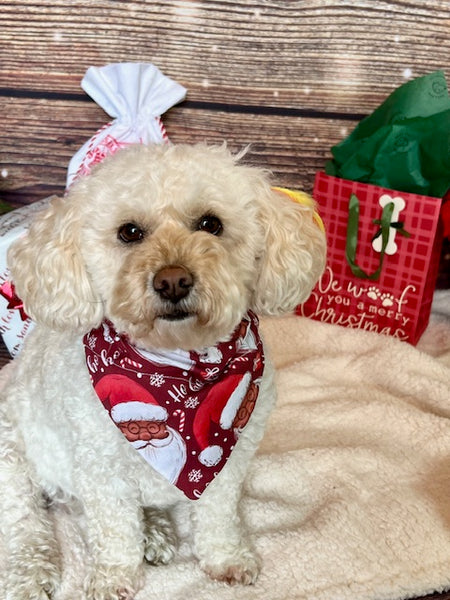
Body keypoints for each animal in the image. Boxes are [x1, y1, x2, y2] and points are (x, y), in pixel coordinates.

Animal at [0, 144, 326, 600]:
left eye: (210, 224)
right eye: (129, 232)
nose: (173, 280)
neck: (177, 364)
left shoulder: (230, 464)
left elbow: (218, 515)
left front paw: (226, 558)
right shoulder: (102, 470)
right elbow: (114, 532)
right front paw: (113, 578)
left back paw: (154, 531)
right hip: (13, 457)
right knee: (26, 522)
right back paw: (30, 571)